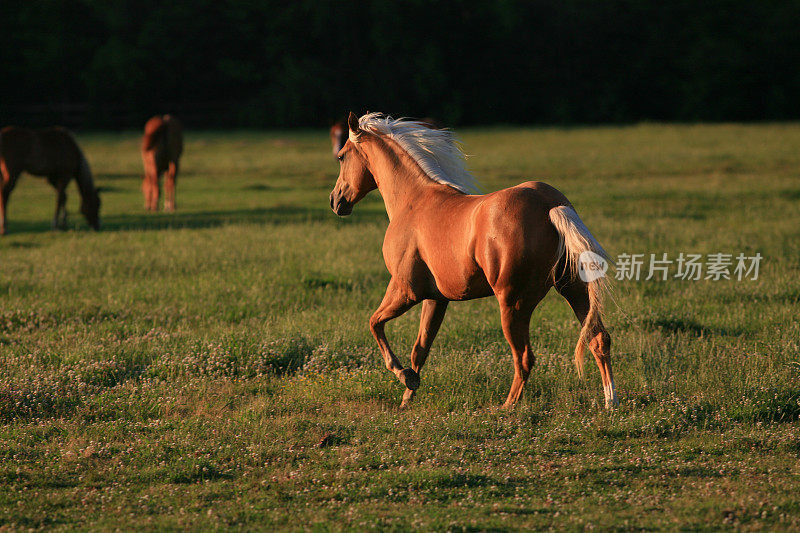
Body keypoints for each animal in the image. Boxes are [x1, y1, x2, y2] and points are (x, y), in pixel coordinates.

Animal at [328, 112, 616, 408]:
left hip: (513, 304)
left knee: (524, 357)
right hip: (573, 289)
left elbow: (375, 324)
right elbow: (420, 348)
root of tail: (551, 206)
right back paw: (610, 402)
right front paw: (408, 396)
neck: (413, 202)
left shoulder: (405, 290)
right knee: (598, 338)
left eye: (341, 156)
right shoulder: (436, 298)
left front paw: (404, 376)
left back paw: (506, 407)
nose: (336, 201)